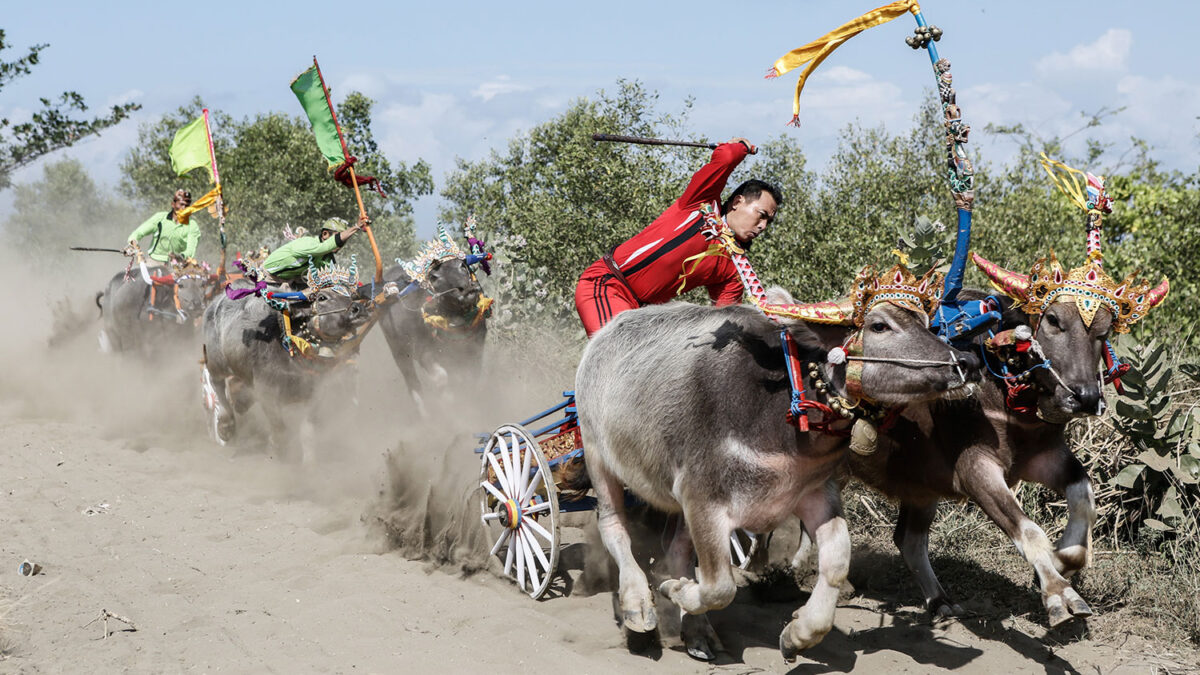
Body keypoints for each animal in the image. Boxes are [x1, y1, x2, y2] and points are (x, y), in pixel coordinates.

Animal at [200, 263, 379, 451]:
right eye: (322, 297)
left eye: (350, 295)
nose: (359, 309)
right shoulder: (266, 392)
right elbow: (280, 431)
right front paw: (279, 448)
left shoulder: (316, 393)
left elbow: (308, 430)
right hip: (215, 362)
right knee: (217, 385)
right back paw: (225, 426)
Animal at [573, 265, 984, 658]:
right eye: (880, 325)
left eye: (927, 323)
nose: (967, 362)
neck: (780, 411)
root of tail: (602, 339)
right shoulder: (702, 500)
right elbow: (719, 586)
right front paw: (675, 590)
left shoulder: (813, 492)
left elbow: (836, 561)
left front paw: (799, 634)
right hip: (597, 455)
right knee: (614, 526)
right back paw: (637, 606)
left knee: (674, 546)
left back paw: (698, 633)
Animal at [849, 252, 1166, 624]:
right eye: (1054, 320)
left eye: (1104, 331)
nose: (1085, 397)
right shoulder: (975, 469)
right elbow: (1028, 529)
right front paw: (1058, 594)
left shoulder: (1045, 456)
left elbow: (1084, 497)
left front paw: (1063, 560)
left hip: (922, 486)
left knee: (908, 540)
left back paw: (941, 602)